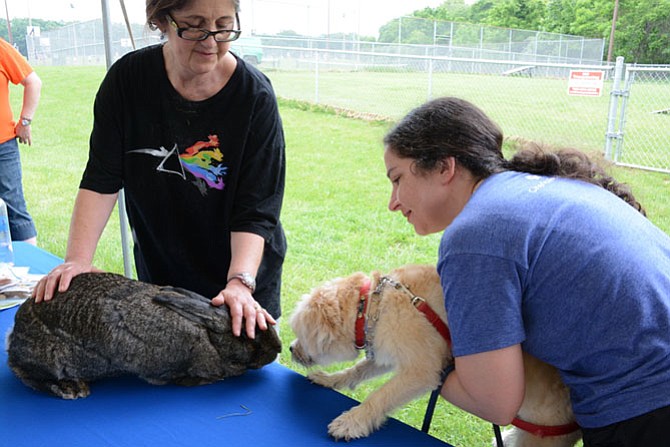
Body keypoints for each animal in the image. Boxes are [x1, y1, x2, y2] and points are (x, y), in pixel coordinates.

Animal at [288, 264, 584, 446]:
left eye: (301, 335)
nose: (291, 349)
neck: (372, 305)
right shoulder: (386, 349)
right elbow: (358, 370)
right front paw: (330, 379)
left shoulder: (422, 369)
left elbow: (380, 396)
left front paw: (352, 421)